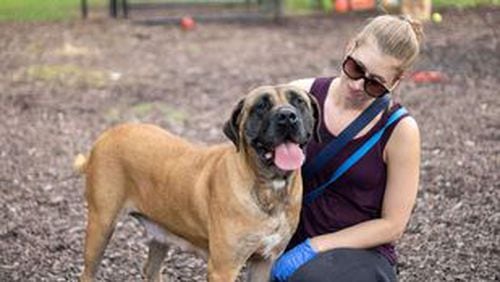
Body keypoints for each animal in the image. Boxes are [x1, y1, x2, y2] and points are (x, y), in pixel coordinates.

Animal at [76, 84, 322, 282]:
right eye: (261, 106)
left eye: (299, 101)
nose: (287, 116)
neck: (270, 187)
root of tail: (108, 134)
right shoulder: (223, 269)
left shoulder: (264, 262)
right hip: (101, 224)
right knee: (87, 273)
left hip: (161, 230)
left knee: (150, 270)